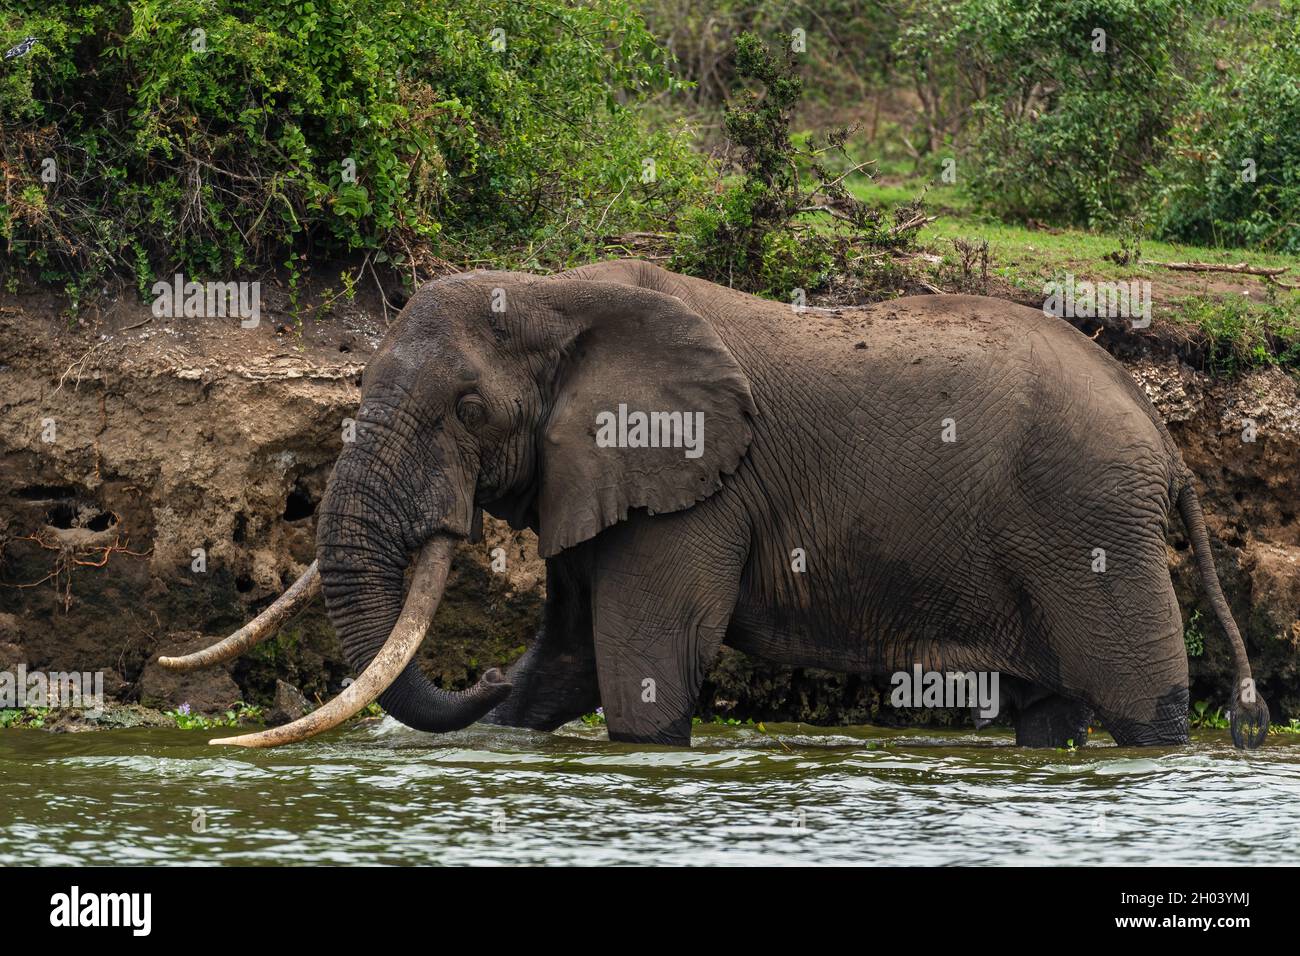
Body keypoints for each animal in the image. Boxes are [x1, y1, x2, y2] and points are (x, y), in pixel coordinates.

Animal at [159, 257, 1268, 749]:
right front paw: (505, 711)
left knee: (1142, 702)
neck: (558, 290)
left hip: (1091, 526)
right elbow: (567, 661)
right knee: (1049, 713)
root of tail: (1163, 435)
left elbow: (647, 671)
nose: (474, 668)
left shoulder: (692, 485)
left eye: (469, 410)